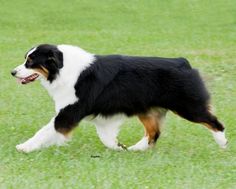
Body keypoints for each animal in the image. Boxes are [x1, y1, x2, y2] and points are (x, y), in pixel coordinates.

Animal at [10, 44, 227, 154]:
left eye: (30, 61)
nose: (13, 72)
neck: (63, 68)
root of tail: (183, 62)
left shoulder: (69, 111)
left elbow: (45, 130)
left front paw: (24, 147)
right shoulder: (104, 117)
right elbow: (106, 137)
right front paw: (118, 147)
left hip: (188, 106)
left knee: (214, 121)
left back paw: (223, 143)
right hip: (146, 109)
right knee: (153, 132)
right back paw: (136, 149)